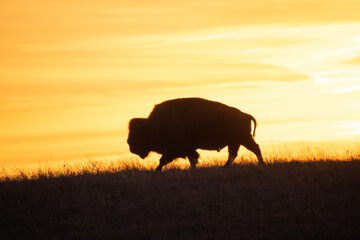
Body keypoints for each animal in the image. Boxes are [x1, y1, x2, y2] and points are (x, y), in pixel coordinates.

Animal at [128, 96, 262, 172]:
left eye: (137, 134)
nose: (130, 146)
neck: (155, 124)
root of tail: (245, 115)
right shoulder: (187, 149)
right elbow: (191, 159)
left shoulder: (176, 150)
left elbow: (163, 160)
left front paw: (157, 171)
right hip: (236, 142)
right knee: (233, 155)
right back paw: (225, 168)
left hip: (243, 139)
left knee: (254, 149)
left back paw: (261, 164)